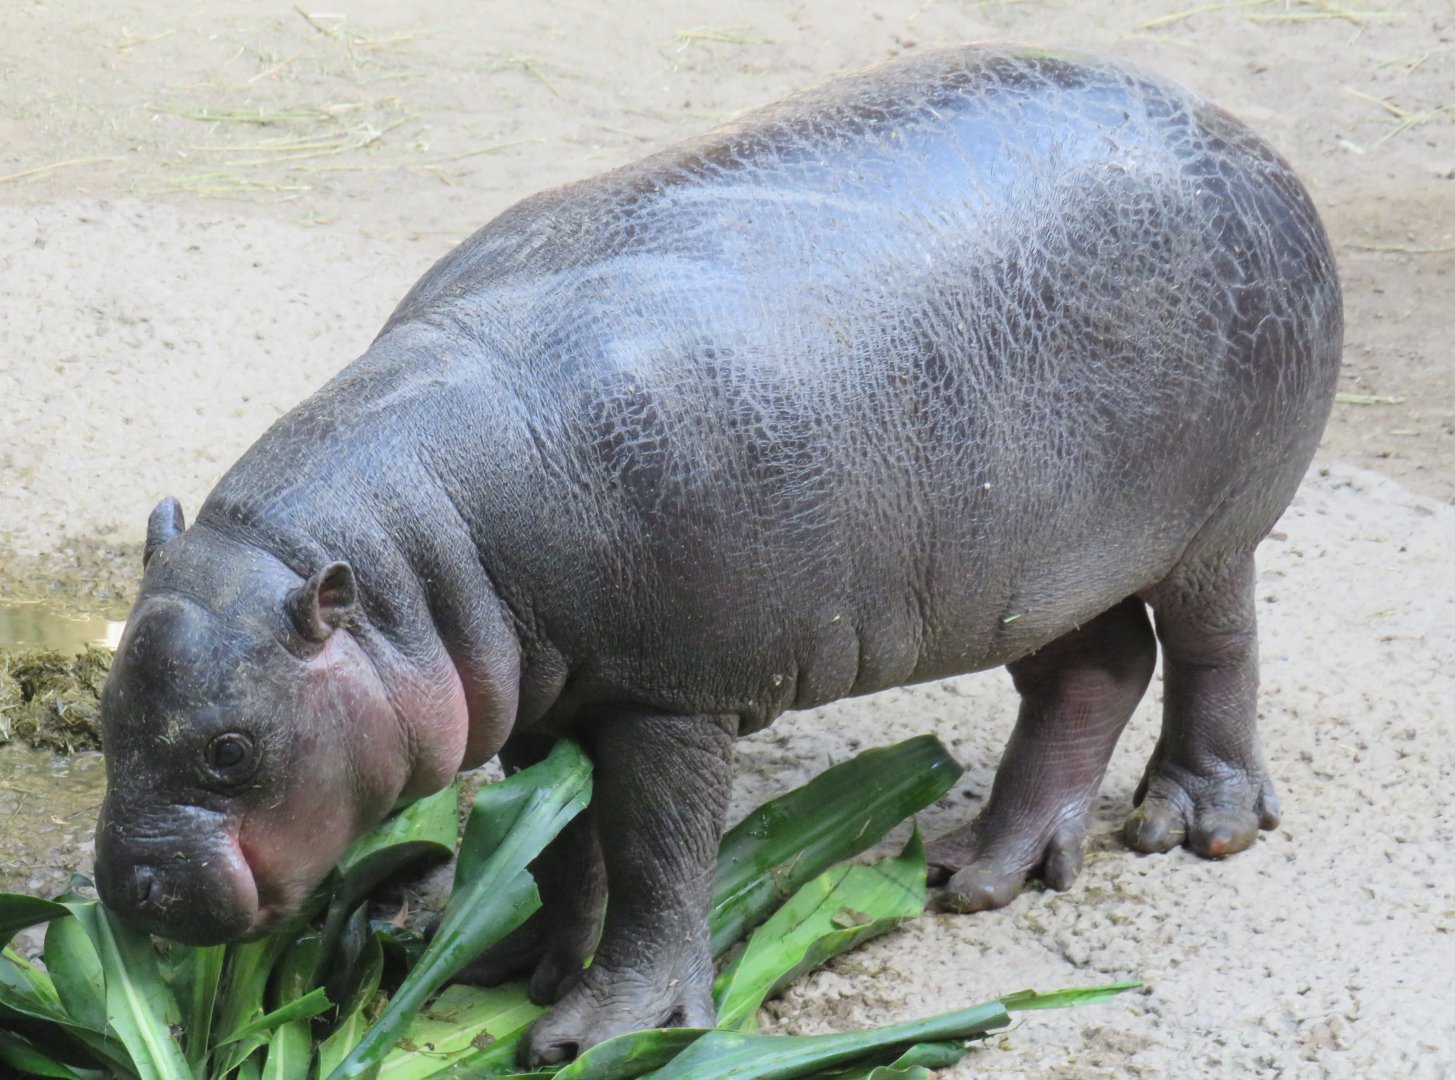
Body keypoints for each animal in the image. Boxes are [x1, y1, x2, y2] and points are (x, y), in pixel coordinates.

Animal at [95, 45, 1342, 1064]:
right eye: (106, 711)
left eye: (230, 751)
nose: (126, 885)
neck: (409, 555)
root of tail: (1239, 129)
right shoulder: (545, 691)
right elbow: (564, 845)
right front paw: (514, 965)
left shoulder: (675, 695)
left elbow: (656, 855)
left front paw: (605, 1031)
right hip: (1028, 567)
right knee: (1094, 670)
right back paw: (979, 871)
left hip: (1213, 526)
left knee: (1216, 650)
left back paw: (1195, 825)